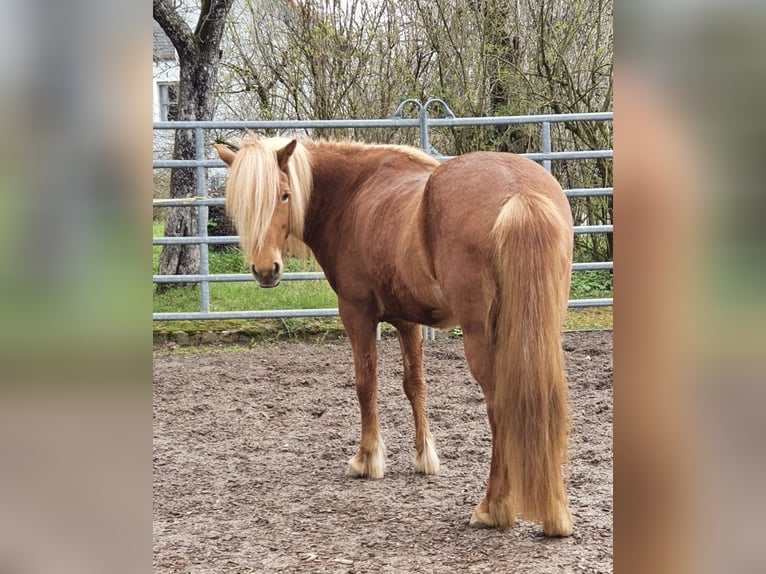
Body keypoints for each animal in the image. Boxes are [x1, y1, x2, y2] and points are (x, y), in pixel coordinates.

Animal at [216, 136, 576, 540]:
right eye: (240, 205)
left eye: (284, 195)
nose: (266, 270)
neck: (352, 193)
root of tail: (519, 193)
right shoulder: (407, 320)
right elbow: (415, 385)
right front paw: (424, 457)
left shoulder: (356, 313)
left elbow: (365, 383)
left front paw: (367, 459)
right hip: (542, 331)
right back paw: (555, 514)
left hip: (482, 338)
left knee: (500, 407)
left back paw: (492, 507)